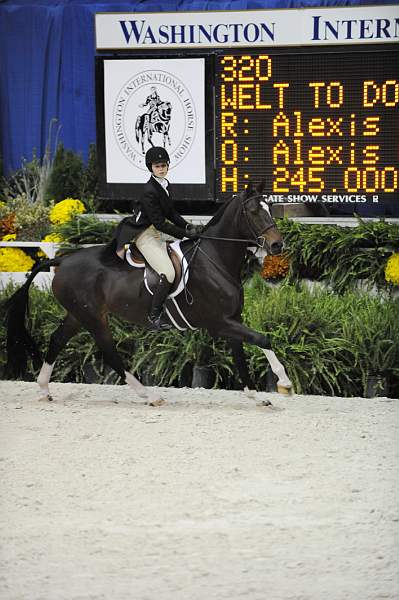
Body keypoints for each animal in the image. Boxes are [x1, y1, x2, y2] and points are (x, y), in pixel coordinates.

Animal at [4, 182, 294, 408]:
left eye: (270, 208)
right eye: (254, 211)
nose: (277, 245)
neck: (215, 259)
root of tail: (62, 261)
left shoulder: (232, 320)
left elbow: (243, 355)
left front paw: (257, 396)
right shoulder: (219, 323)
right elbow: (263, 339)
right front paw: (285, 384)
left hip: (78, 314)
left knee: (57, 340)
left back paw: (44, 390)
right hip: (93, 317)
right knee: (110, 353)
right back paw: (150, 396)